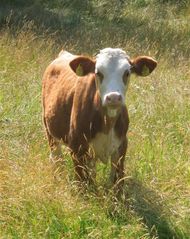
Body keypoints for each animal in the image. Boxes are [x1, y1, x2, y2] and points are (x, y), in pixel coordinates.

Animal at [42, 48, 157, 187]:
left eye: (127, 72)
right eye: (98, 72)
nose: (113, 97)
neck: (107, 124)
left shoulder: (121, 146)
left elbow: (117, 181)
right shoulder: (77, 146)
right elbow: (84, 184)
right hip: (49, 130)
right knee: (57, 159)